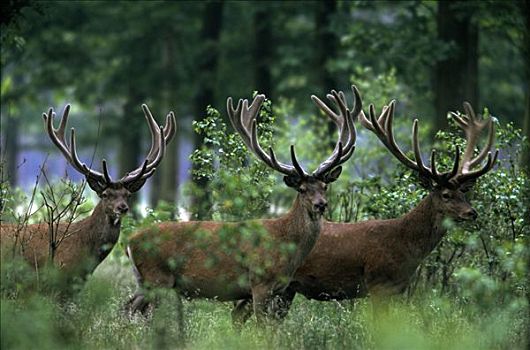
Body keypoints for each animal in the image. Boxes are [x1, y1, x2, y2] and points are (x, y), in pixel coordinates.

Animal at [126, 87, 360, 322]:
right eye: (302, 189)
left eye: (324, 186)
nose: (321, 205)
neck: (284, 244)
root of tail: (130, 242)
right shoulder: (259, 282)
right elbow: (262, 326)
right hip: (157, 278)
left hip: (146, 282)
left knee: (129, 306)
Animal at [230, 100, 496, 324]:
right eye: (446, 194)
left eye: (464, 192)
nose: (471, 212)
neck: (406, 246)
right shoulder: (378, 283)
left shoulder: (399, 290)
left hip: (286, 289)